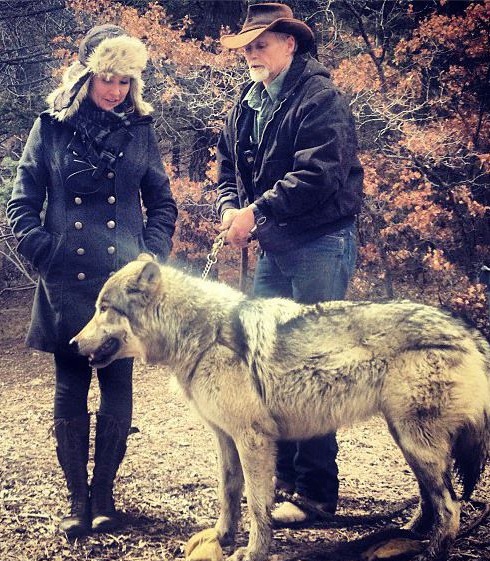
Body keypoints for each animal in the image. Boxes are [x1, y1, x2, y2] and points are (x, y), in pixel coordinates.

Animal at [72, 255, 490, 560]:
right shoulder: (225, 437)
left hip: (415, 442)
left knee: (451, 507)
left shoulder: (254, 440)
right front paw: (222, 536)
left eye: (104, 308)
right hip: (407, 440)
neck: (202, 336)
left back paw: (431, 551)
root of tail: (469, 331)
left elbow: (258, 505)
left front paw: (253, 551)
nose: (73, 344)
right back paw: (408, 533)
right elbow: (228, 493)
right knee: (431, 498)